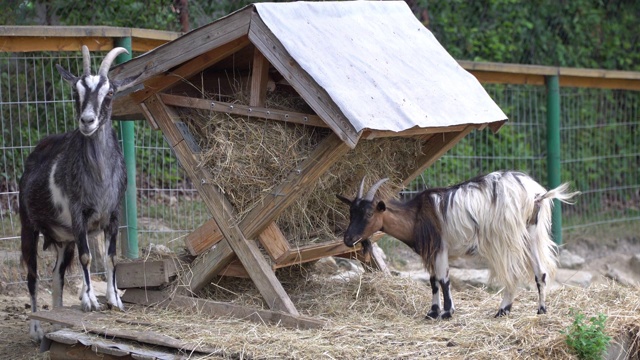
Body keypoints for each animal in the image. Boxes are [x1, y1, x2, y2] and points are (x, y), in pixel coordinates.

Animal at [20, 46, 135, 342]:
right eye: (76, 92)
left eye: (110, 93)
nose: (87, 121)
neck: (100, 178)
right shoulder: (78, 213)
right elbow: (87, 257)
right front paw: (91, 301)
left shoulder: (113, 214)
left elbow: (110, 257)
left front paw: (114, 300)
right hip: (28, 224)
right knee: (32, 275)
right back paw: (37, 330)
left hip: (64, 239)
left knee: (56, 276)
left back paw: (57, 320)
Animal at [338, 171, 576, 318]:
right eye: (351, 212)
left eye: (369, 213)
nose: (348, 239)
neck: (416, 216)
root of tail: (535, 194)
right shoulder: (433, 252)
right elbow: (433, 281)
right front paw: (432, 312)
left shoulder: (440, 248)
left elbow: (443, 280)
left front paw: (447, 312)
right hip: (532, 234)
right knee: (540, 272)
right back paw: (541, 310)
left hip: (507, 237)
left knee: (513, 274)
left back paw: (502, 310)